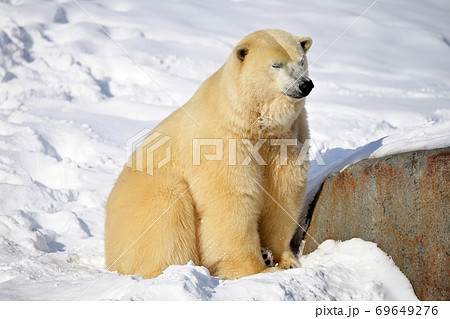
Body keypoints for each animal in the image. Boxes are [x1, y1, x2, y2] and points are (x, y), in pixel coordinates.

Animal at [104, 30, 312, 280]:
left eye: (302, 61)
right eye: (276, 65)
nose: (305, 85)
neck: (249, 119)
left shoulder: (285, 137)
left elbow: (283, 192)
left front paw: (284, 259)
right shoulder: (224, 139)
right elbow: (231, 197)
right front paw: (255, 269)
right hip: (141, 201)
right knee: (167, 207)